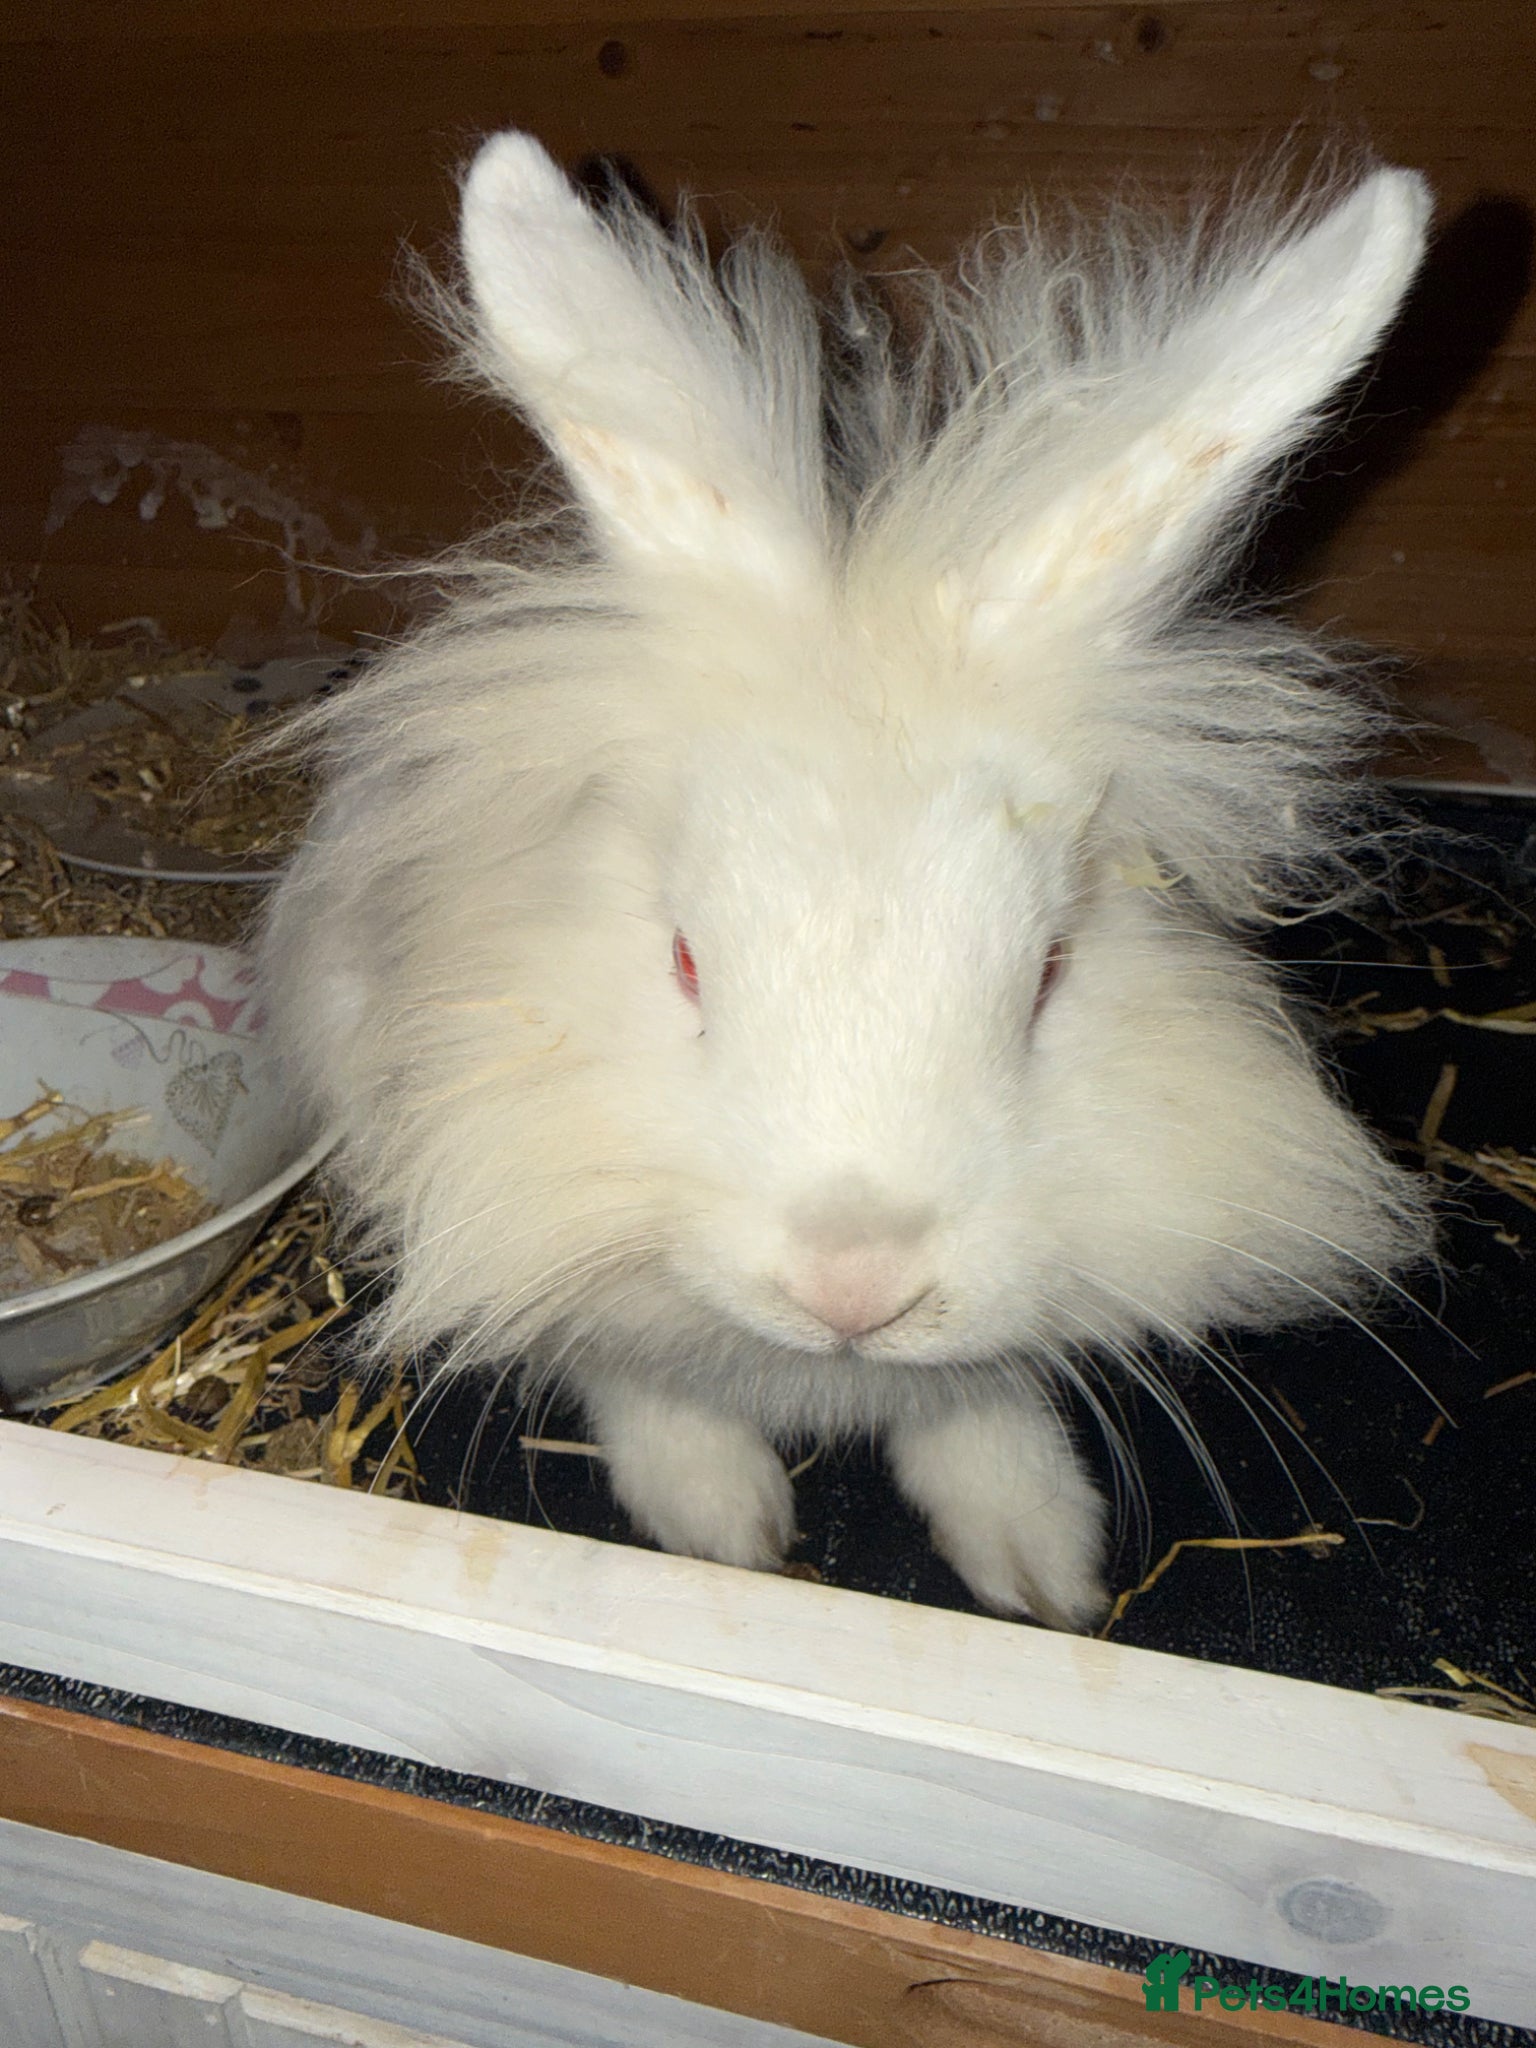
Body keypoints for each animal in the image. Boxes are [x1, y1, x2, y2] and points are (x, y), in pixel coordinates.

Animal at [260, 132, 1436, 1631]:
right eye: (685, 960)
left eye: (1051, 973)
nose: (856, 1284)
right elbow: (635, 1377)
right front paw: (725, 1530)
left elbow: (979, 1408)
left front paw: (1044, 1572)